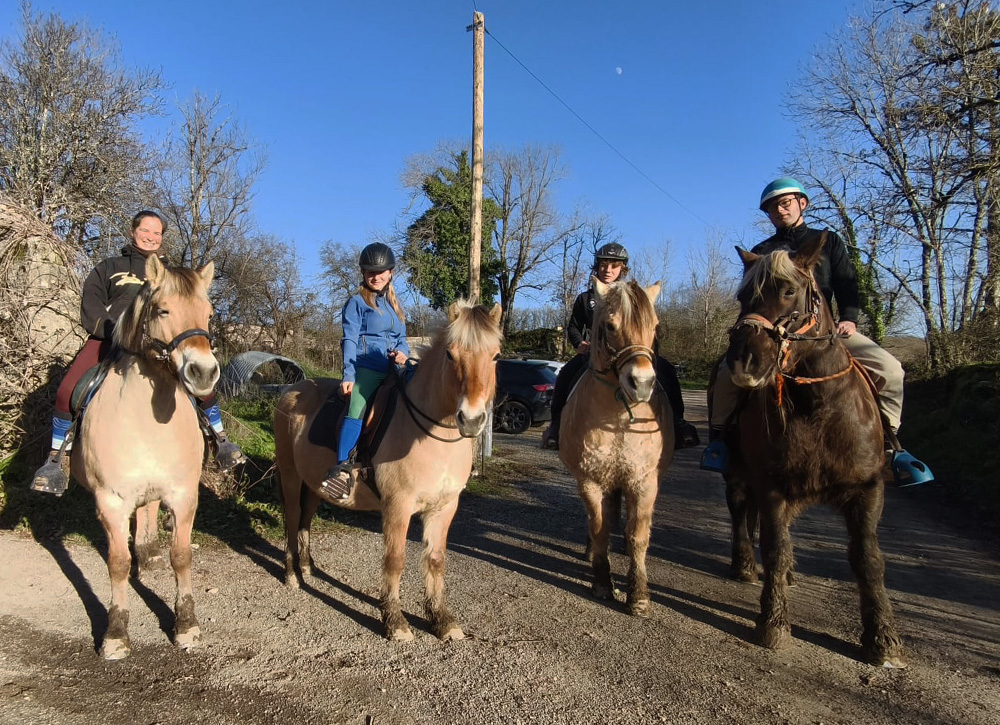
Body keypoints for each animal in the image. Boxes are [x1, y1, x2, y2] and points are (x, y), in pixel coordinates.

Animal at [71, 254, 218, 660]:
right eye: (163, 309)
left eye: (209, 314)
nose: (203, 373)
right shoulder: (111, 500)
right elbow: (117, 563)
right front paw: (116, 633)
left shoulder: (183, 494)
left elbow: (181, 556)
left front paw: (186, 625)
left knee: (149, 512)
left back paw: (148, 551)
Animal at [273, 300, 502, 641]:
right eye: (450, 354)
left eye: (496, 356)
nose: (471, 419)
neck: (430, 433)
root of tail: (290, 390)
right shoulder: (397, 505)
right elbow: (395, 560)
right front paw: (394, 620)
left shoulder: (444, 507)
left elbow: (436, 560)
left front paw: (441, 618)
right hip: (290, 476)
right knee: (292, 517)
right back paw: (291, 574)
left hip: (313, 483)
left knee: (305, 520)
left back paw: (307, 566)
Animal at [558, 277, 674, 617]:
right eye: (609, 326)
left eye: (655, 327)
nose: (642, 383)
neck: (618, 416)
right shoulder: (591, 480)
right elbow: (599, 528)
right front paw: (601, 583)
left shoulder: (644, 481)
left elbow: (639, 536)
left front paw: (639, 596)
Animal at [715, 232, 905, 667]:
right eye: (743, 296)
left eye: (789, 291)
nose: (744, 361)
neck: (817, 404)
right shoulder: (771, 485)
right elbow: (775, 547)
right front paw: (773, 624)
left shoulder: (869, 489)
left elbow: (868, 559)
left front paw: (882, 637)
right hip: (737, 474)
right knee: (741, 516)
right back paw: (745, 565)